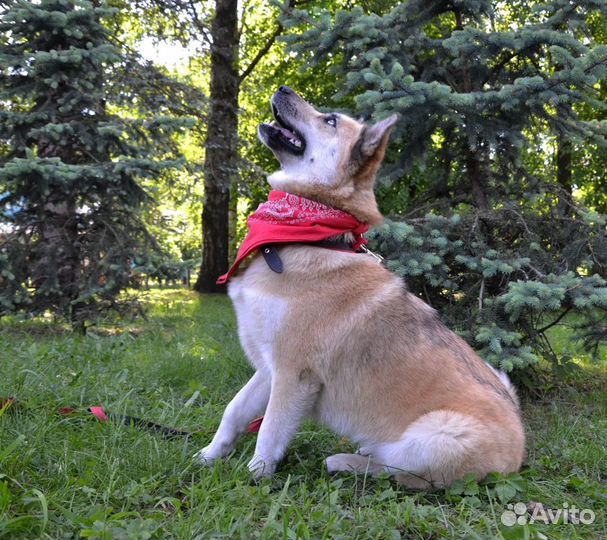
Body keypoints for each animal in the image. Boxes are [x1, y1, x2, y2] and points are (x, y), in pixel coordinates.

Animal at [196, 85, 528, 490]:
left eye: (330, 120)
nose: (284, 89)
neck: (309, 235)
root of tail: (520, 449)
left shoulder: (294, 374)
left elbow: (270, 431)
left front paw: (256, 476)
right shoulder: (268, 370)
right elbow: (234, 412)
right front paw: (209, 456)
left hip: (436, 437)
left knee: (401, 472)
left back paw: (345, 462)